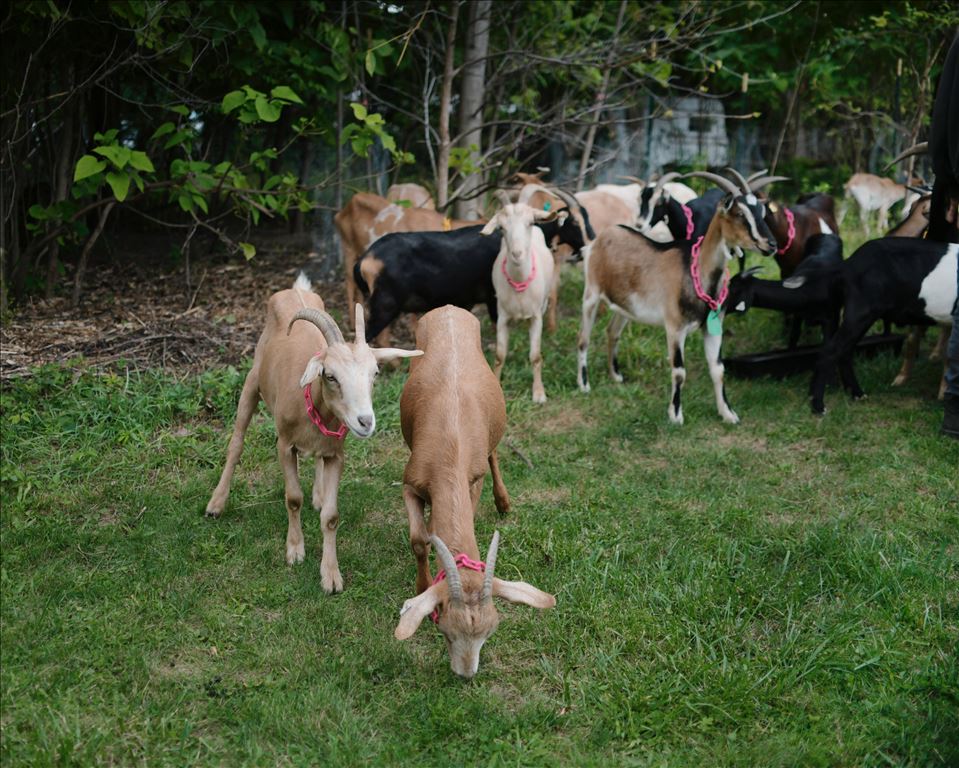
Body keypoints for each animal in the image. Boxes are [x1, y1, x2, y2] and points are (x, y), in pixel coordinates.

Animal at [205, 275, 422, 592]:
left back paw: (318, 494)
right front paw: (295, 550)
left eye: (375, 373)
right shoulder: (284, 445)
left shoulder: (337, 455)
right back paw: (216, 503)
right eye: (329, 376)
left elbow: (331, 516)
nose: (365, 422)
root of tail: (296, 290)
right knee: (236, 444)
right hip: (252, 383)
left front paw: (330, 575)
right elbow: (293, 498)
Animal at [393, 306, 555, 679]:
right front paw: (421, 586)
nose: (466, 674)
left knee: (494, 453)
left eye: (490, 631)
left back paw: (504, 503)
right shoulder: (410, 482)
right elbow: (419, 539)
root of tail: (449, 309)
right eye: (446, 631)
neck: (449, 448)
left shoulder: (472, 481)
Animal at [482, 187, 558, 402]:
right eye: (501, 228)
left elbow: (535, 355)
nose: (517, 254)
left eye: (530, 222)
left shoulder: (536, 317)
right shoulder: (502, 316)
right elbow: (500, 355)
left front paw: (539, 393)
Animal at [578, 171, 778, 424]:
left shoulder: (713, 328)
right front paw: (675, 415)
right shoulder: (674, 328)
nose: (771, 244)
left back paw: (616, 376)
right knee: (583, 338)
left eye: (762, 212)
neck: (696, 272)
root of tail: (600, 238)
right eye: (740, 213)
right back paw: (584, 384)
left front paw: (728, 413)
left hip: (625, 306)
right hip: (591, 294)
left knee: (612, 332)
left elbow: (718, 370)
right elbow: (679, 371)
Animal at [809, 240, 957, 414]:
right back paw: (818, 405)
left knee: (845, 352)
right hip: (860, 313)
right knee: (830, 351)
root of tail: (849, 263)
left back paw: (857, 394)